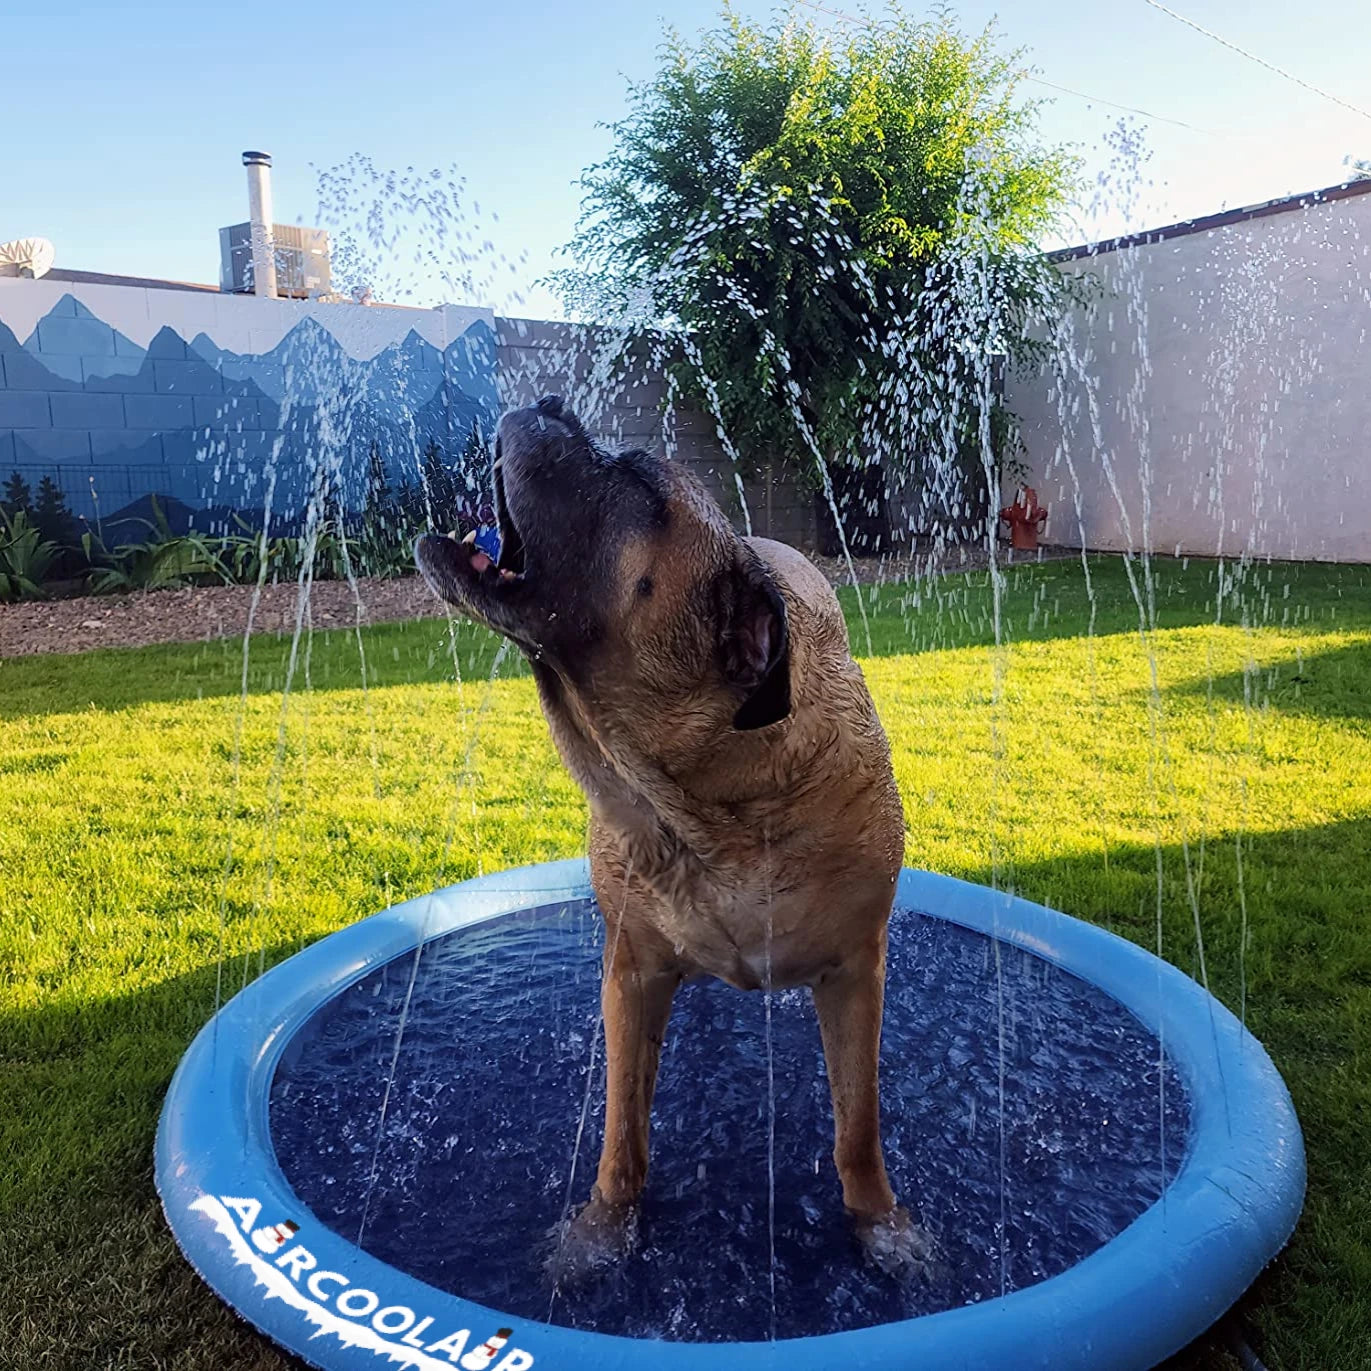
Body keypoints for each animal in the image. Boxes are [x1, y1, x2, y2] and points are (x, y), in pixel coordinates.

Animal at [408, 397, 921, 1272]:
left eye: (638, 481)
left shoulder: (856, 971)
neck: (706, 809)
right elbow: (622, 1130)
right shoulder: (631, 969)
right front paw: (601, 1229)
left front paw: (880, 1225)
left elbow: (858, 1128)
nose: (548, 404)